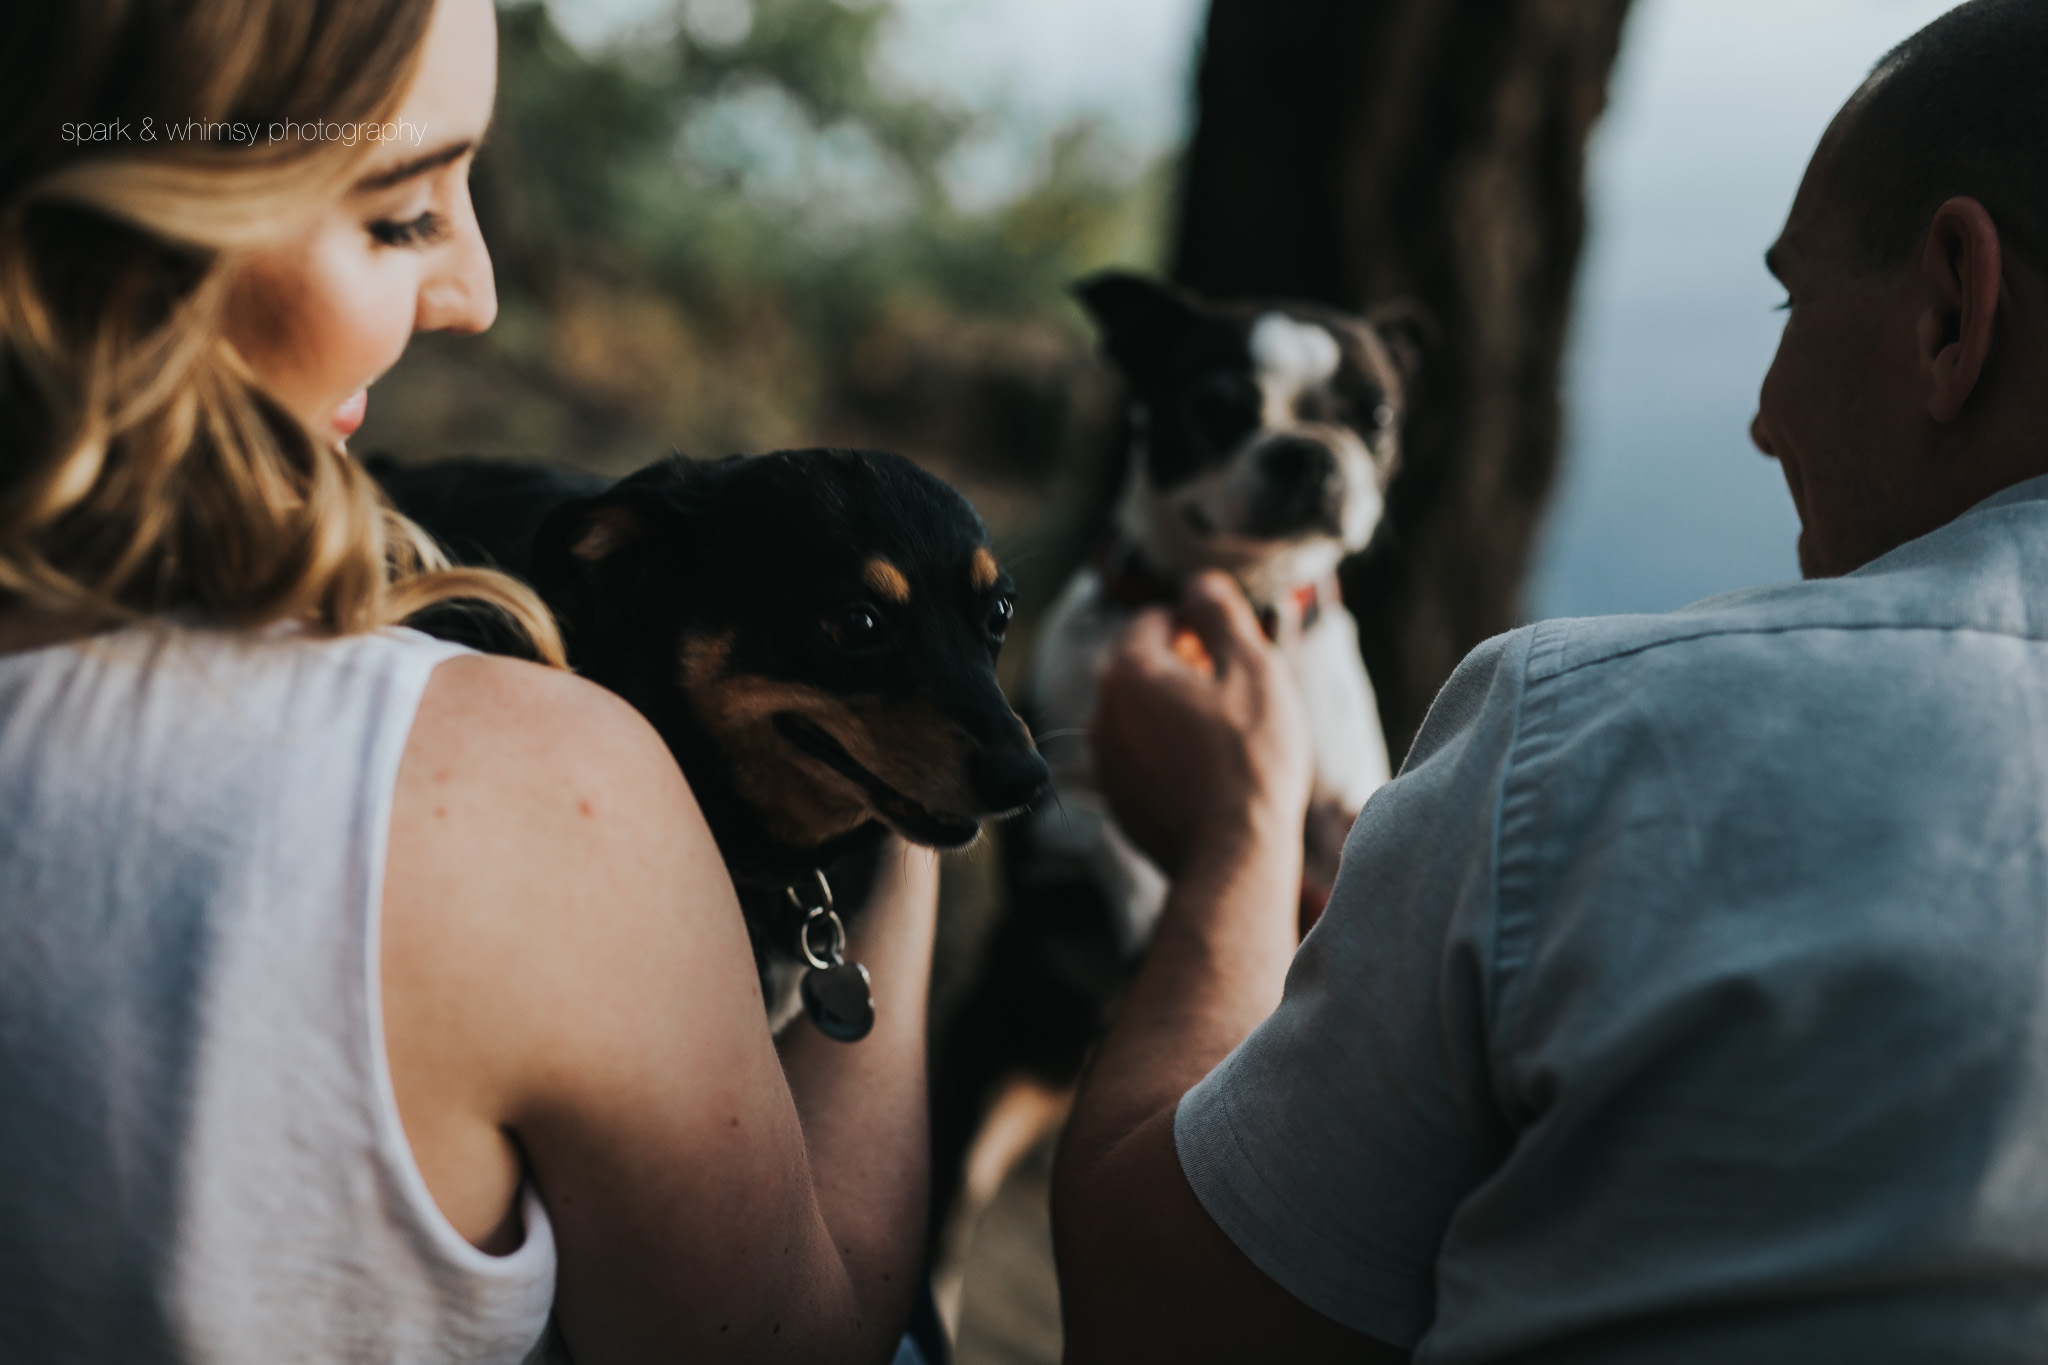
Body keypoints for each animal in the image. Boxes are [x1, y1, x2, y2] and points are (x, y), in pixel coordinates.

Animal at [933, 274, 1425, 1293]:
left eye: (1379, 417)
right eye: (1215, 408)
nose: (1308, 452)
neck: (1242, 603)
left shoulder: (1338, 800)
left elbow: (1350, 840)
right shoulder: (1051, 799)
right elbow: (1108, 834)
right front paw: (1152, 902)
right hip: (984, 1081)